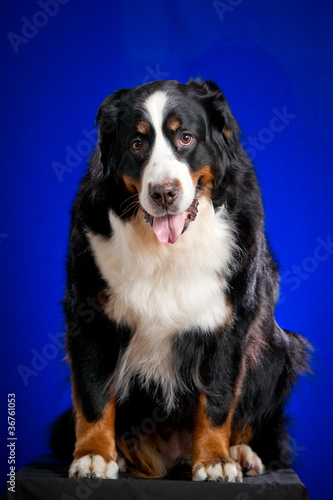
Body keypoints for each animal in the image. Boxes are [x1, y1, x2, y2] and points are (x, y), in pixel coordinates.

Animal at [63, 80, 310, 482]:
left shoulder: (229, 322)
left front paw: (214, 461)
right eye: (137, 144)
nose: (164, 192)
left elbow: (218, 400)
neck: (169, 251)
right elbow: (93, 392)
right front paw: (93, 455)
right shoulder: (89, 311)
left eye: (186, 137)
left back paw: (242, 453)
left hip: (278, 348)